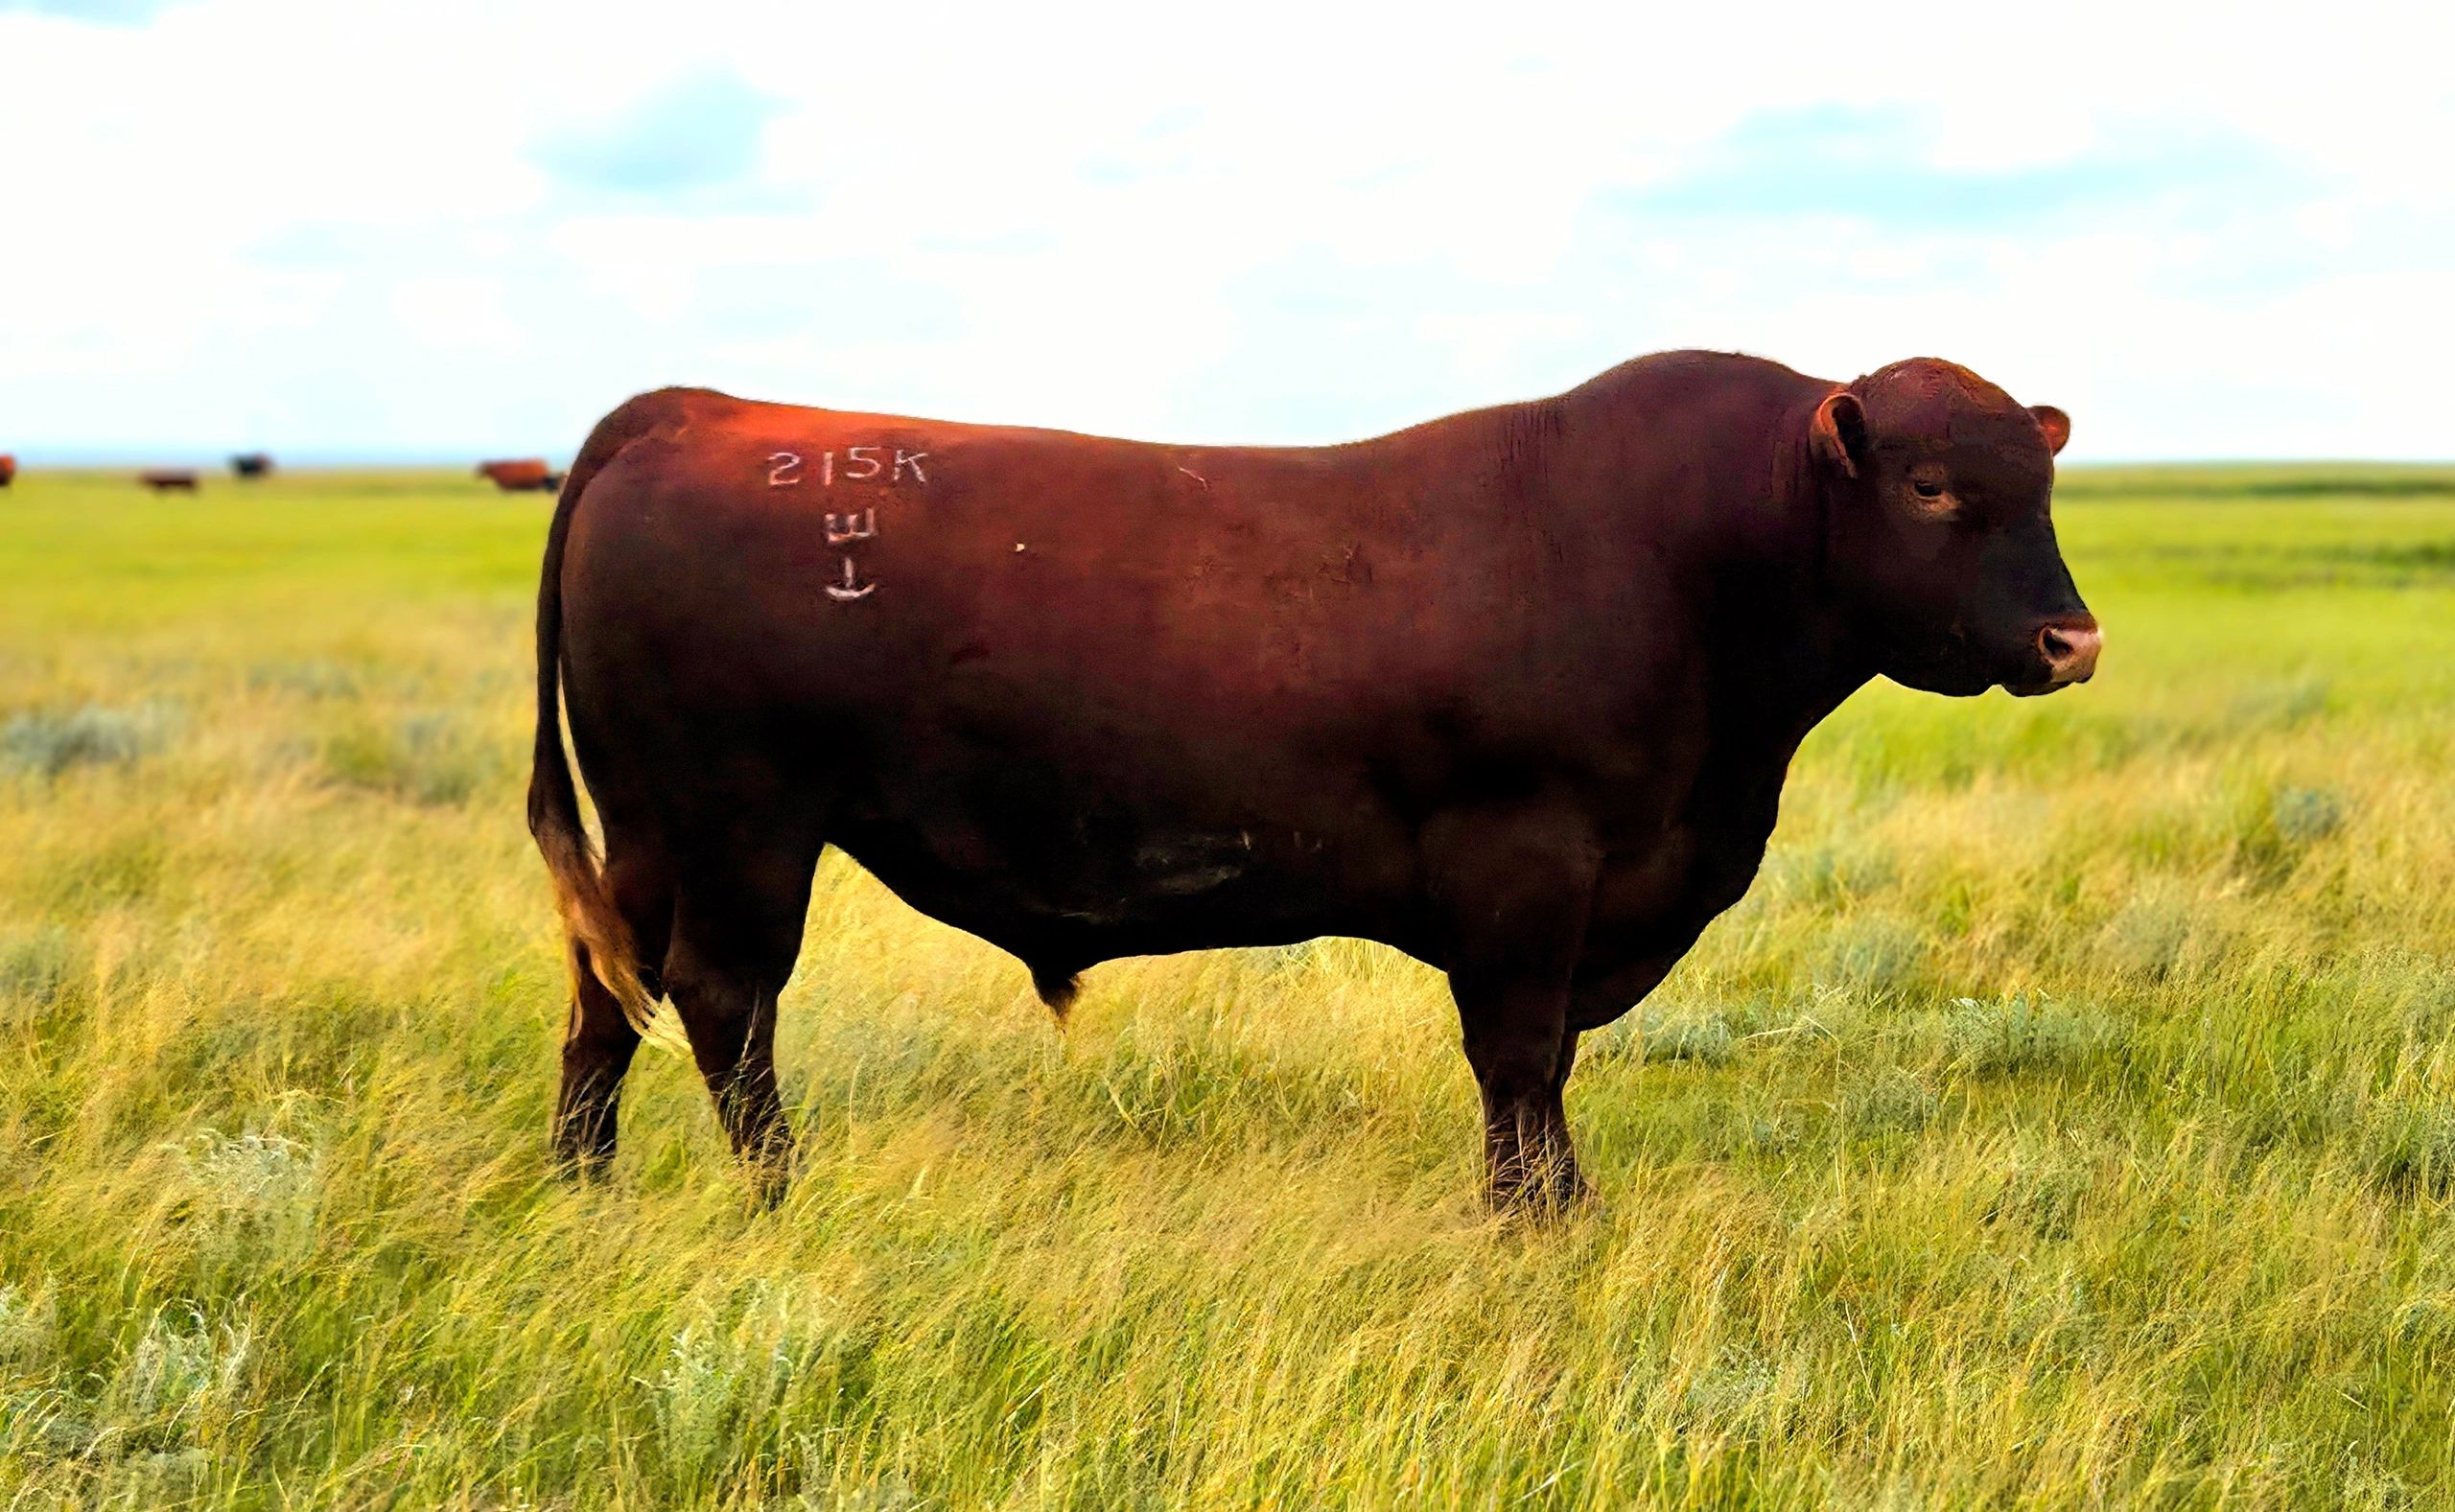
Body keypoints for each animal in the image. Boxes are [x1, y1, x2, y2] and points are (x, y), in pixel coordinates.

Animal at [529, 351, 2101, 1210]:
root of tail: (691, 411)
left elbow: (1544, 1065)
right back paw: (779, 1198)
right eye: (1932, 488)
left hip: (649, 827)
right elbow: (1520, 1061)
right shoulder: (1526, 868)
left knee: (611, 992)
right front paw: (1539, 1225)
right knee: (728, 1005)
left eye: (2040, 485)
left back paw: (586, 1190)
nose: (2070, 640)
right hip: (745, 823)